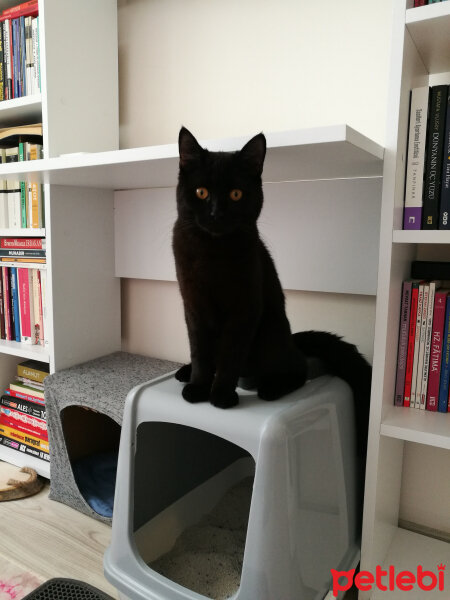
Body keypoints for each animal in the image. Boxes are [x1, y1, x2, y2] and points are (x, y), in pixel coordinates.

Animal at [171, 126, 370, 454]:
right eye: (201, 192)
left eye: (236, 194)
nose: (216, 214)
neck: (213, 251)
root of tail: (292, 340)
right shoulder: (193, 305)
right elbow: (200, 351)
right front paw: (198, 386)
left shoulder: (245, 309)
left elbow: (229, 355)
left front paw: (220, 396)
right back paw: (186, 372)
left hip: (270, 332)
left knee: (297, 369)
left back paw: (272, 387)